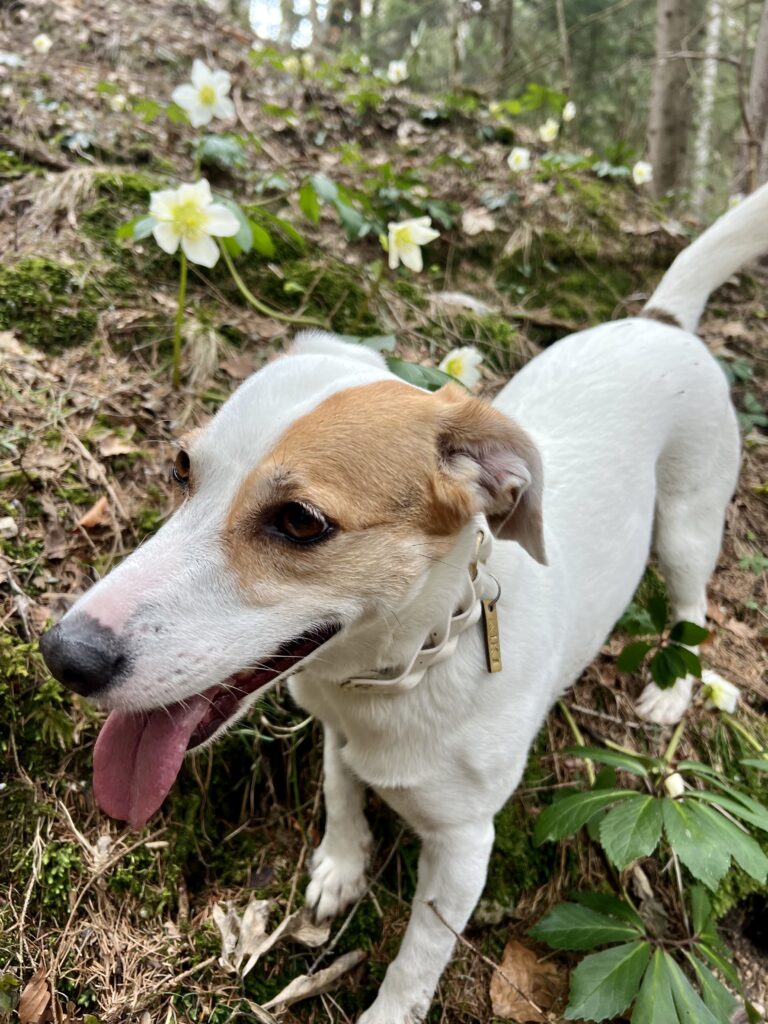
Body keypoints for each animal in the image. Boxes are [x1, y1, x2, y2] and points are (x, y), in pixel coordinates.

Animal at [37, 186, 765, 1024]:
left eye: (300, 522)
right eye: (183, 466)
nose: (64, 656)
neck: (408, 662)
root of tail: (661, 321)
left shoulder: (464, 845)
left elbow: (420, 954)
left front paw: (391, 1003)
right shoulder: (334, 727)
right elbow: (339, 786)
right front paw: (341, 860)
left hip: (687, 526)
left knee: (692, 598)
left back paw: (675, 686)